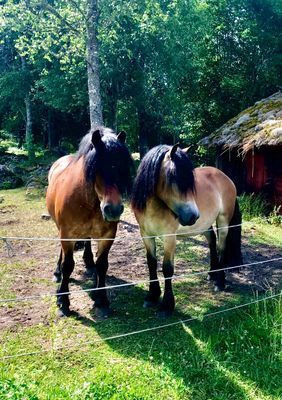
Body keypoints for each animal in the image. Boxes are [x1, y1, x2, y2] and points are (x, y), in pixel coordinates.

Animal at [46, 126, 133, 318]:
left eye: (121, 168)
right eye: (97, 169)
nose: (113, 209)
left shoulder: (108, 236)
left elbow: (102, 265)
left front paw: (102, 299)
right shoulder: (67, 234)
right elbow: (68, 265)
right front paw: (63, 302)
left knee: (87, 242)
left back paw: (89, 265)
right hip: (60, 229)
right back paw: (57, 272)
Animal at [132, 144, 242, 316]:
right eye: (173, 177)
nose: (193, 216)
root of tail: (226, 177)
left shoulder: (169, 238)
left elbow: (167, 268)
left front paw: (166, 305)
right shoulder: (146, 235)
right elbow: (151, 263)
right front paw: (152, 296)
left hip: (223, 222)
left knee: (221, 248)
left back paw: (220, 282)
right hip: (205, 224)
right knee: (212, 241)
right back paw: (212, 273)